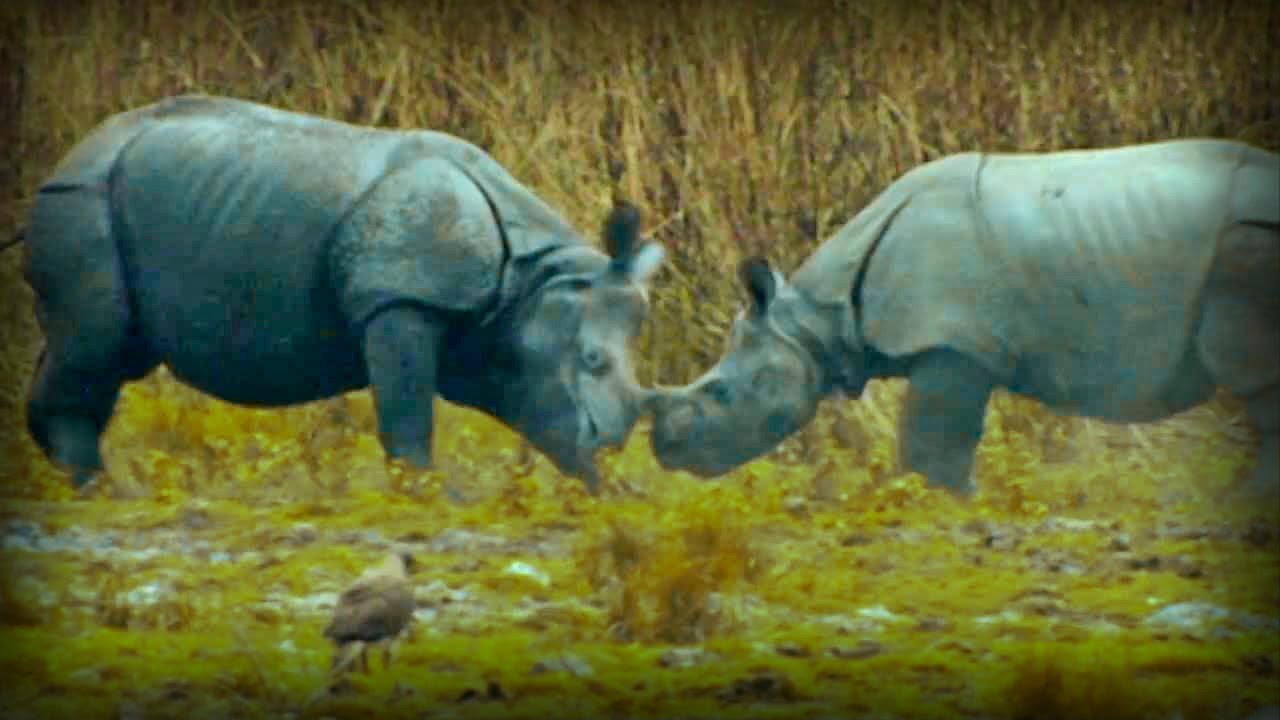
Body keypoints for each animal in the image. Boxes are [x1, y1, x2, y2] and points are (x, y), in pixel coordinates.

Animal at [18, 94, 667, 492]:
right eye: (592, 360)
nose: (610, 447)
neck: (536, 278)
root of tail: (68, 158)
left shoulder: (491, 339)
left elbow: (533, 410)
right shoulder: (401, 300)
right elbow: (406, 409)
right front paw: (426, 495)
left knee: (101, 350)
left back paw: (73, 477)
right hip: (81, 199)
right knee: (96, 342)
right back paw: (101, 491)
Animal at [649, 139, 1279, 496]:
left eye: (719, 392)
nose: (665, 453)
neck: (816, 317)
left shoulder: (952, 347)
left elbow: (933, 446)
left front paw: (940, 508)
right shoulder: (960, 347)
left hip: (1246, 241)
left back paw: (1243, 505)